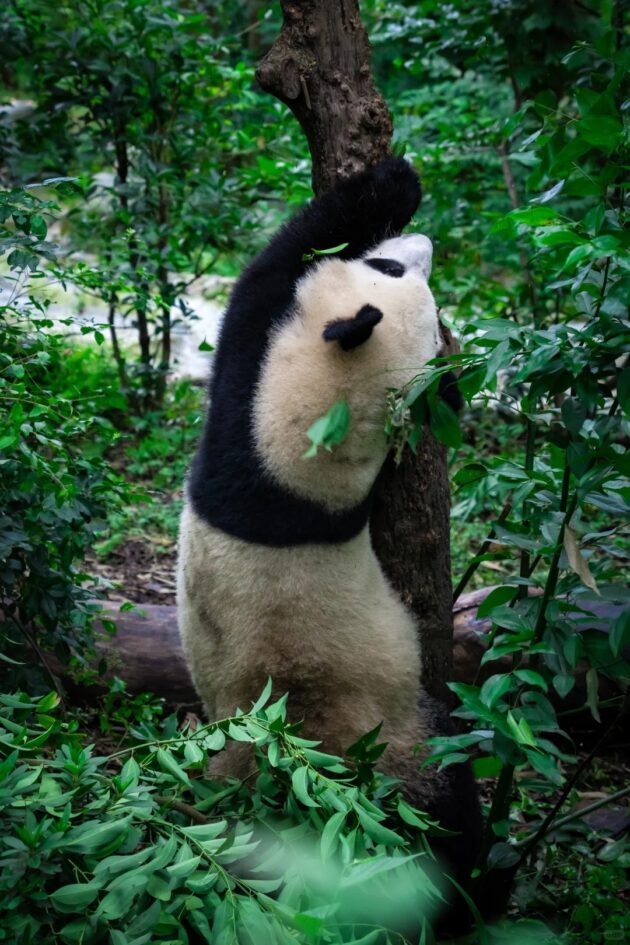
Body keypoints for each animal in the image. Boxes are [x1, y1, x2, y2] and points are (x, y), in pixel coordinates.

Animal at [177, 157, 483, 926]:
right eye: (388, 266)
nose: (424, 243)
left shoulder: (252, 397)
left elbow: (271, 268)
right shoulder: (248, 404)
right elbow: (276, 265)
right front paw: (391, 184)